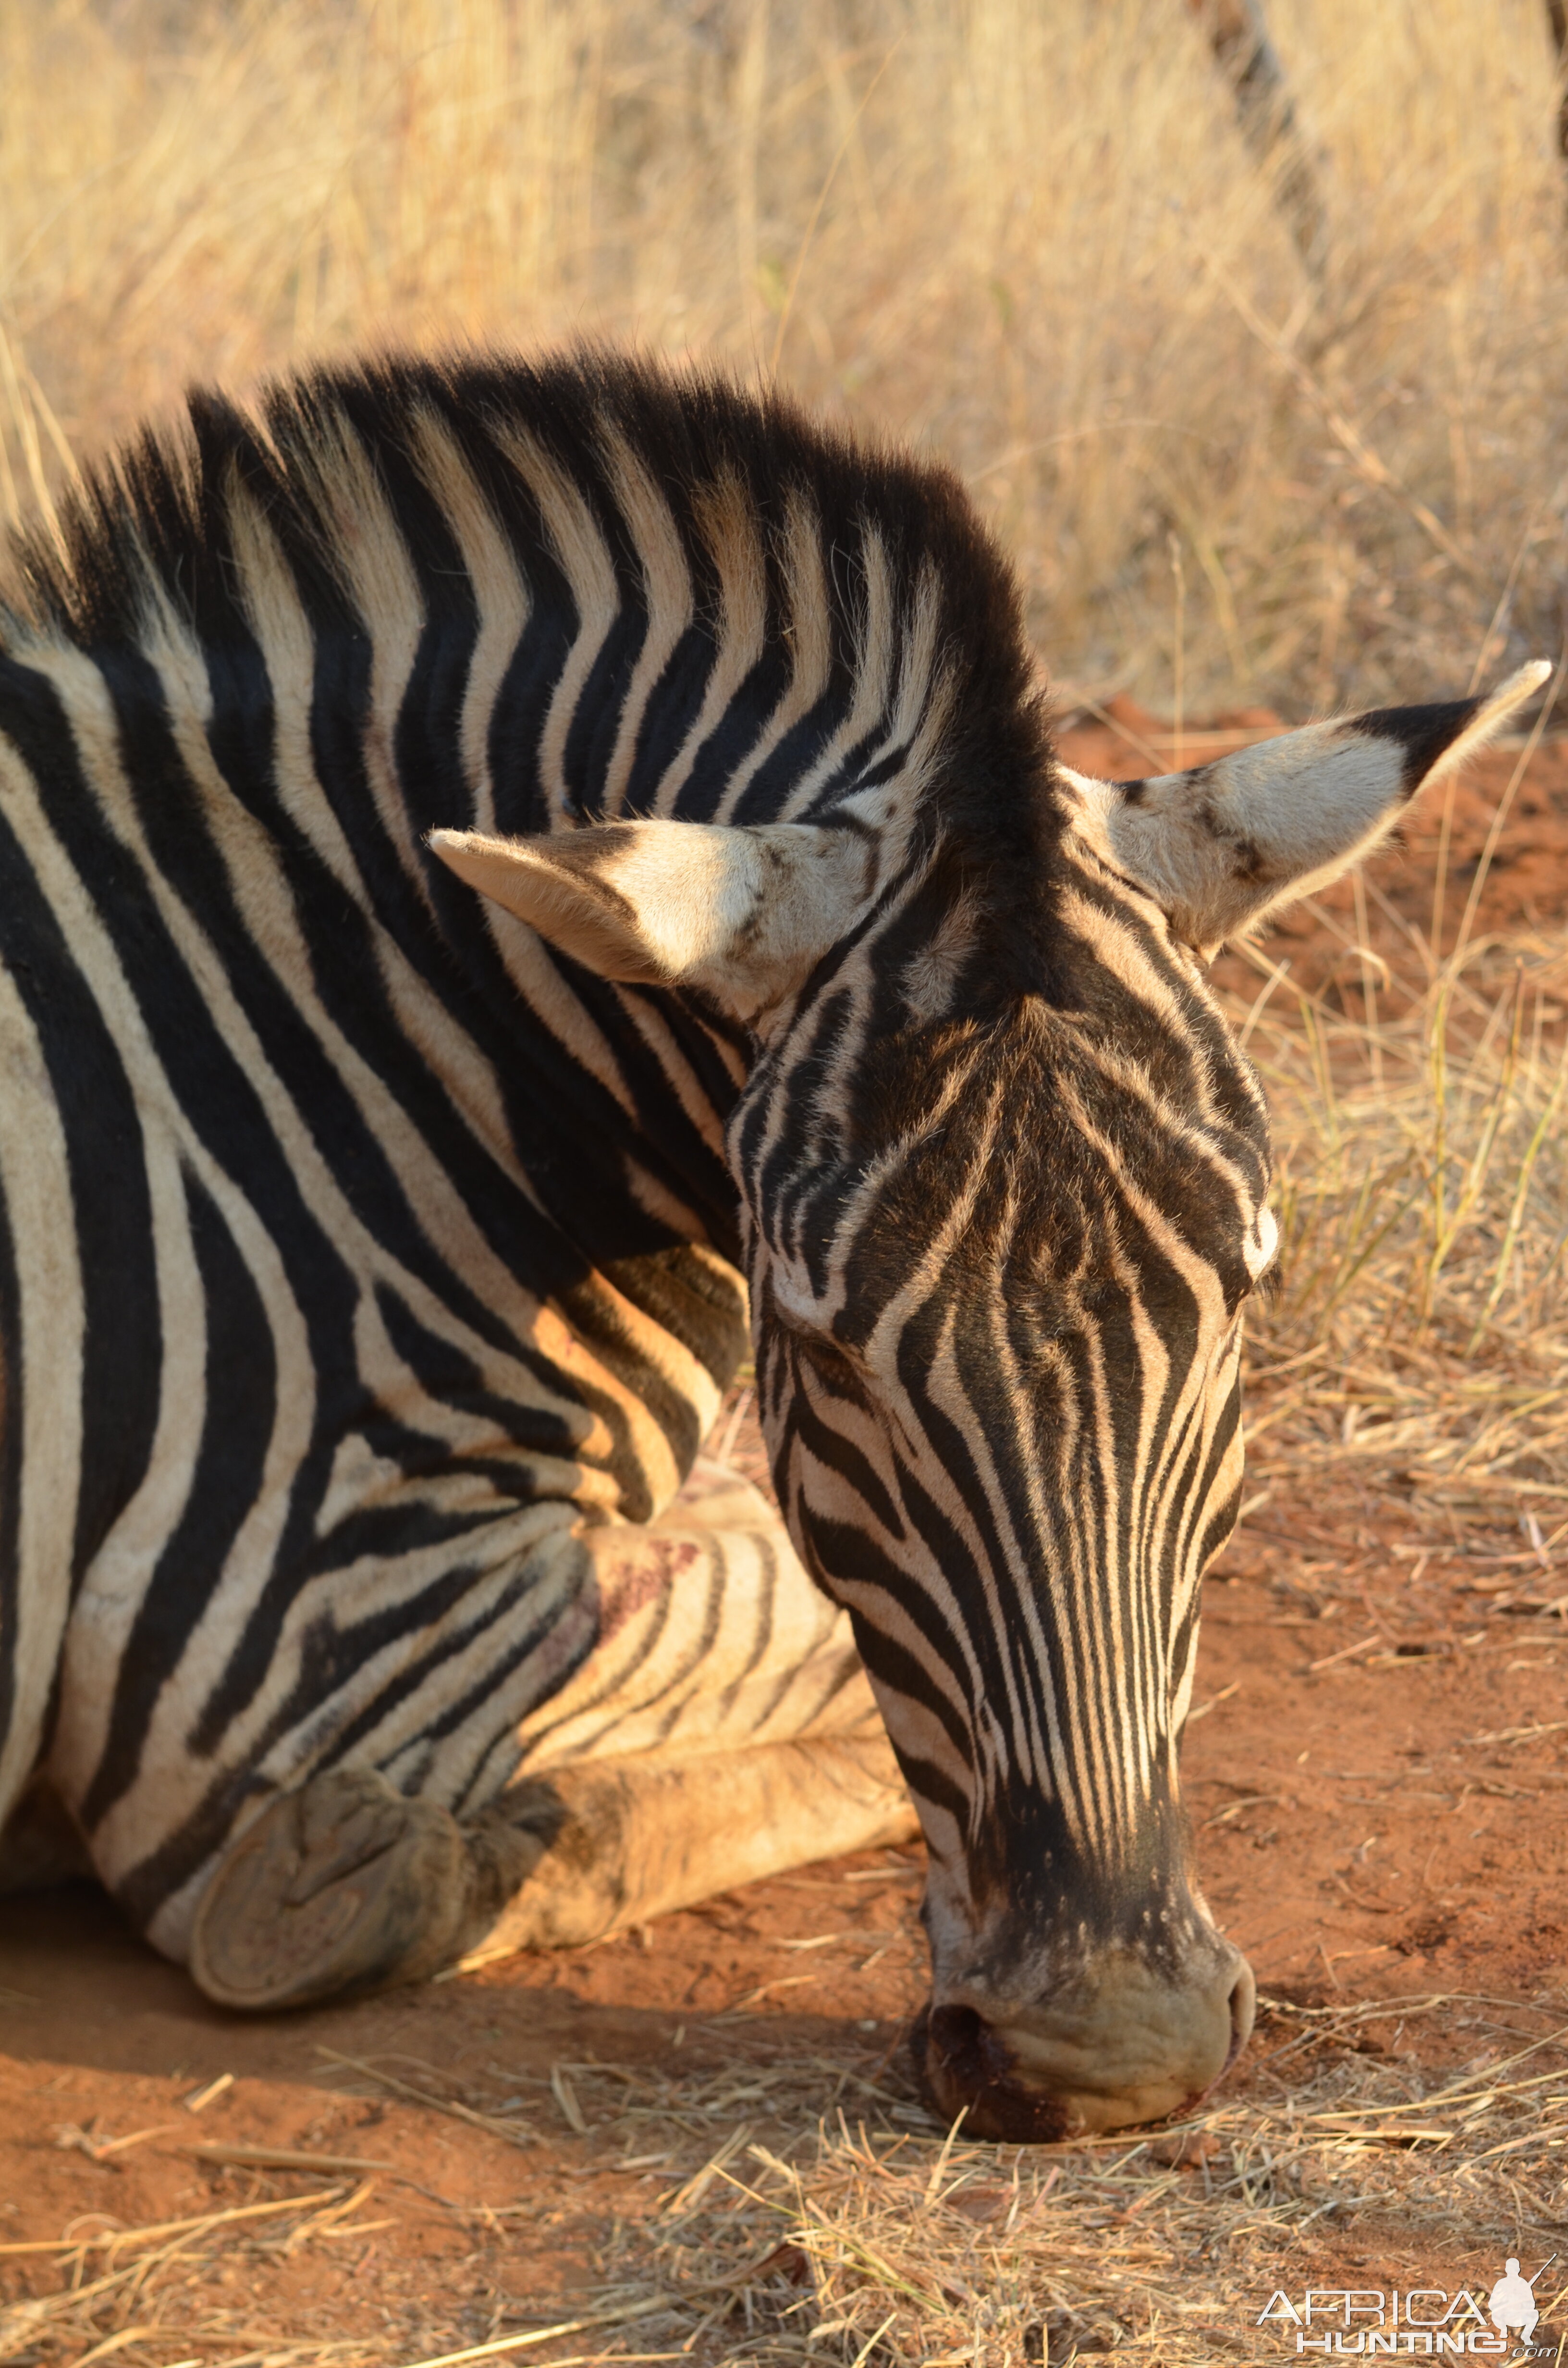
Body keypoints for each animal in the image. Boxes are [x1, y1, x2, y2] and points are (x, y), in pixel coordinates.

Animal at [0, 350, 1544, 2150]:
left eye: (1245, 1298)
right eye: (821, 1352)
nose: (1115, 2050)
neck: (326, 1036)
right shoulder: (320, 1638)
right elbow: (814, 1664)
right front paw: (390, 1857)